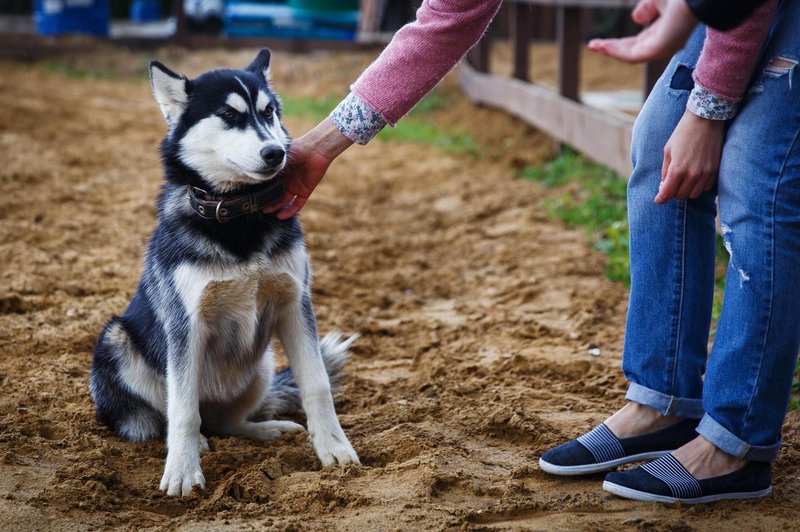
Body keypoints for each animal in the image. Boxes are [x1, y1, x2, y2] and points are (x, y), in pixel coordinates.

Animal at [90, 50, 360, 498]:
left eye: (268, 112)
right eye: (229, 116)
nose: (275, 153)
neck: (237, 213)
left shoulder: (295, 305)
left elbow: (317, 385)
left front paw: (334, 449)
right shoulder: (185, 325)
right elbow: (183, 410)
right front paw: (183, 471)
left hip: (262, 362)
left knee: (227, 423)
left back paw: (265, 429)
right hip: (116, 340)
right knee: (166, 420)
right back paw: (194, 443)